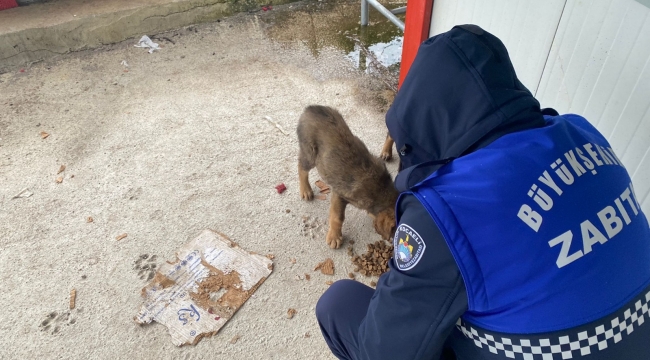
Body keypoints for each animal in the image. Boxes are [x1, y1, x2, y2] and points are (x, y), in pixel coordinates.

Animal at [296, 105, 398, 249]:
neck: (381, 189)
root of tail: (310, 108)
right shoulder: (339, 195)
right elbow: (337, 217)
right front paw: (334, 237)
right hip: (310, 153)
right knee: (301, 168)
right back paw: (306, 190)